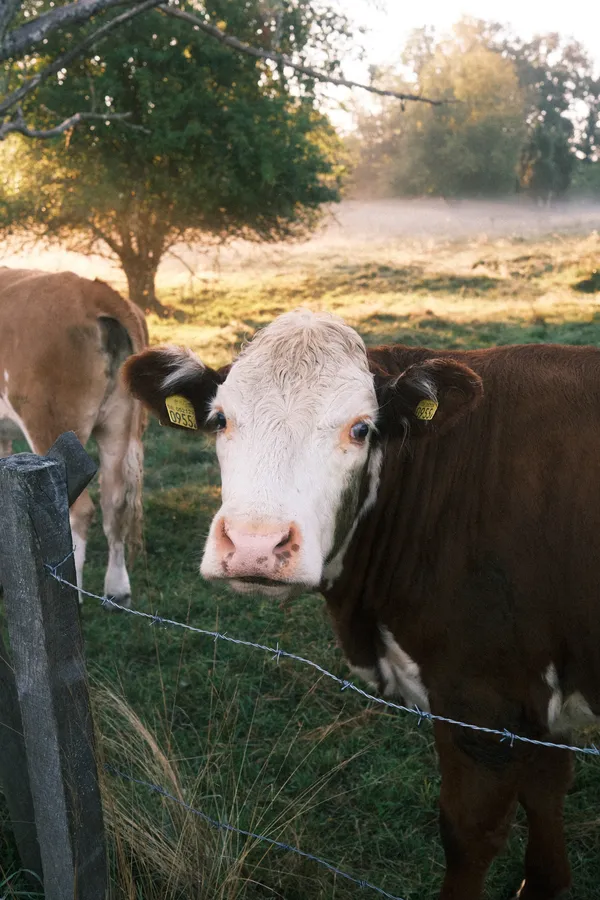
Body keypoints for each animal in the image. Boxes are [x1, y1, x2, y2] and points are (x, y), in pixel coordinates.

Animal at [0, 268, 147, 604]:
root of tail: (90, 290)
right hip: (118, 424)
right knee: (114, 502)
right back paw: (117, 591)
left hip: (53, 424)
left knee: (79, 510)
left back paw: (74, 592)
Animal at [123, 310, 600, 900]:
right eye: (220, 420)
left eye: (360, 428)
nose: (256, 544)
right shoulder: (540, 701)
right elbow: (546, 789)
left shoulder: (481, 701)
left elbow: (469, 832)